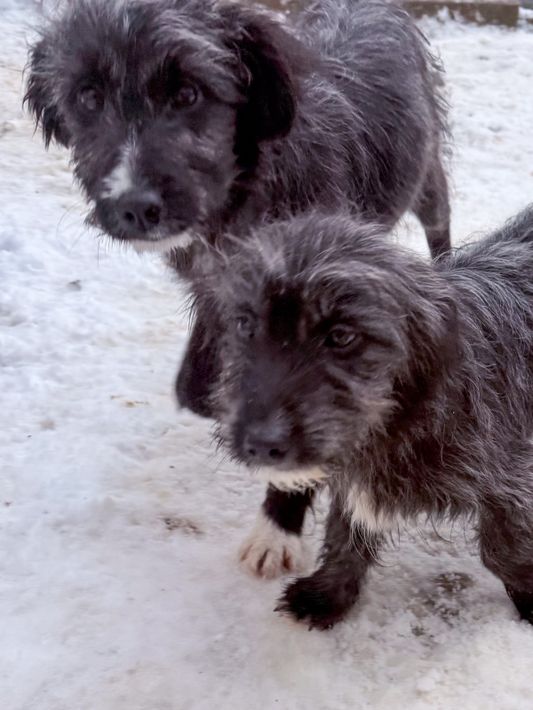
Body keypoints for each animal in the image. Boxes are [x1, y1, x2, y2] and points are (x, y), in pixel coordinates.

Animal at [25, 0, 450, 578]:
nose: (133, 207)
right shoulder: (216, 284)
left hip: (427, 176)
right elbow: (195, 381)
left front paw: (279, 523)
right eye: (88, 97)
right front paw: (216, 392)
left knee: (440, 221)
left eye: (188, 93)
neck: (244, 191)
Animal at [191, 207, 533, 629]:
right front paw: (329, 593)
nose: (261, 444)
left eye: (342, 336)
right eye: (245, 323)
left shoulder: (515, 477)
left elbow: (503, 551)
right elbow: (345, 532)